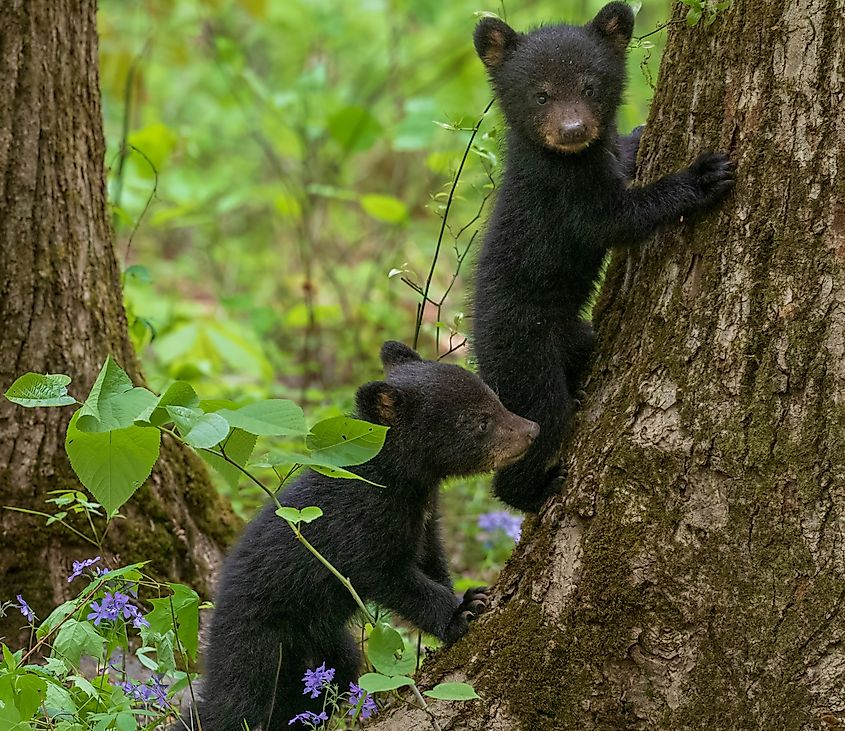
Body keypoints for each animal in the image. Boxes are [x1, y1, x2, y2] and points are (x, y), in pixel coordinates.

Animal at [196, 341, 539, 730]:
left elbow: (432, 559)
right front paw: (462, 611)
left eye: (495, 399)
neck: (395, 481)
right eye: (480, 421)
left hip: (323, 641)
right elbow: (389, 575)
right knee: (237, 704)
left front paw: (470, 595)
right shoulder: (360, 522)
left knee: (330, 674)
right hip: (259, 641)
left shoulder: (424, 520)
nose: (532, 430)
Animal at [470, 2, 735, 513]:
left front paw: (637, 133)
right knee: (542, 419)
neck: (568, 159)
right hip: (524, 354)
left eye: (590, 86)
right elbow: (616, 219)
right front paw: (702, 175)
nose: (573, 130)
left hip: (574, 337)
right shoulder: (565, 196)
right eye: (541, 95)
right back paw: (535, 491)